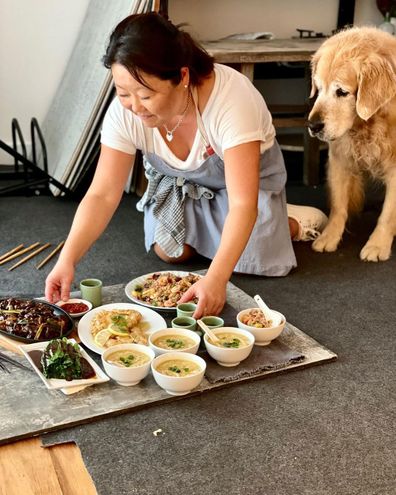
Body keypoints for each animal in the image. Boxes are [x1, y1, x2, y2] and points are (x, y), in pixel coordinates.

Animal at [308, 26, 396, 264]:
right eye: (318, 88)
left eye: (342, 92)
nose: (313, 125)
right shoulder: (339, 158)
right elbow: (338, 206)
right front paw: (329, 237)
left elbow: (387, 213)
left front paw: (377, 244)